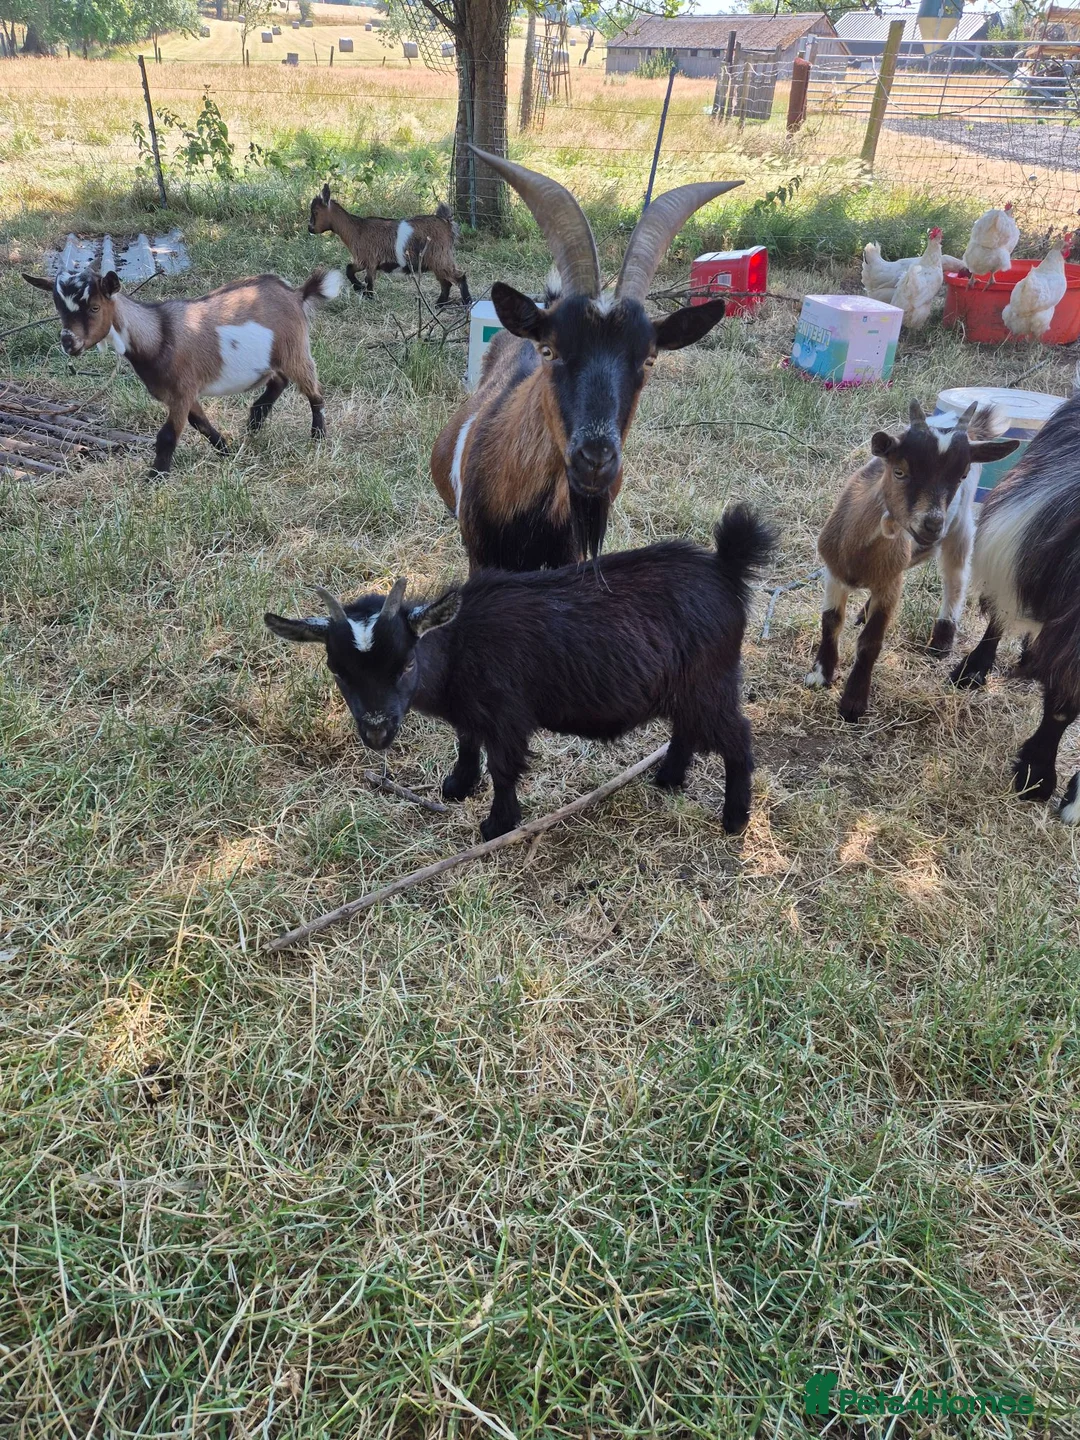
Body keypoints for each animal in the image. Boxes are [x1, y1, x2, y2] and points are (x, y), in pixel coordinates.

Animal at [23, 265, 343, 476]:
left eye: (94, 308)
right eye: (59, 308)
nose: (69, 342)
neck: (158, 335)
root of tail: (296, 294)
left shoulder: (182, 389)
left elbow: (167, 436)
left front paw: (155, 479)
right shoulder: (181, 393)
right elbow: (200, 423)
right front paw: (226, 451)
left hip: (295, 348)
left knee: (313, 391)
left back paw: (317, 436)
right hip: (273, 357)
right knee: (278, 381)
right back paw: (254, 422)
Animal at [265, 504, 775, 839]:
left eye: (406, 662)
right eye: (338, 672)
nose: (376, 732)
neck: (459, 645)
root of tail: (725, 569)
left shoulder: (507, 715)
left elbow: (504, 767)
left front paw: (496, 825)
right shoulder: (472, 712)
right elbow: (466, 742)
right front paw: (457, 787)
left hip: (711, 681)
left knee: (737, 739)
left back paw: (734, 819)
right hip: (687, 686)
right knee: (687, 728)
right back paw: (668, 779)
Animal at [307, 184, 470, 305]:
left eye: (315, 212)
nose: (310, 228)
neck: (356, 230)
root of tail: (446, 223)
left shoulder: (370, 261)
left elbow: (369, 280)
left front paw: (368, 295)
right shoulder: (362, 260)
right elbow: (349, 269)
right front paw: (359, 288)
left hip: (440, 257)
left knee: (459, 277)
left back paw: (466, 302)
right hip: (437, 260)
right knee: (446, 283)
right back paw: (439, 304)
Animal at [805, 400, 1017, 723]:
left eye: (961, 475)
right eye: (899, 471)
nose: (932, 524)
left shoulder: (891, 583)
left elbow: (870, 642)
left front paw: (853, 702)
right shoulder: (834, 571)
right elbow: (831, 621)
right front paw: (821, 675)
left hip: (961, 526)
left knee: (955, 577)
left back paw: (943, 637)